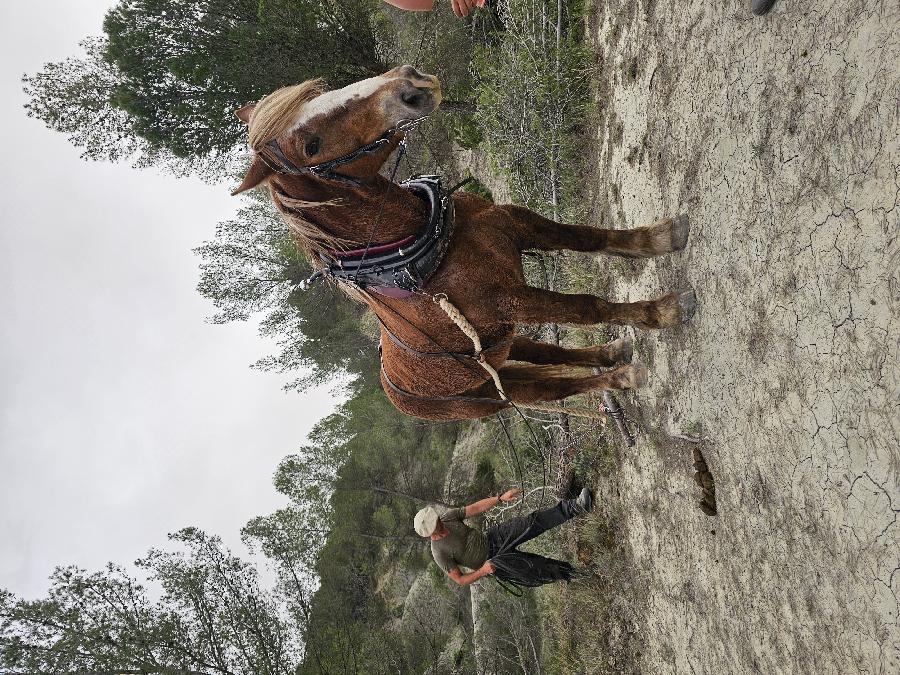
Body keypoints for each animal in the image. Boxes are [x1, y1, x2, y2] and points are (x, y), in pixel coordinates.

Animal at [232, 64, 696, 422]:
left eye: (318, 92)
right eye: (311, 146)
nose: (410, 83)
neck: (426, 245)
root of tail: (396, 392)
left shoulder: (516, 224)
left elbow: (589, 238)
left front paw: (657, 238)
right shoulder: (510, 301)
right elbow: (588, 307)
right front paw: (662, 311)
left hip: (502, 349)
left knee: (548, 353)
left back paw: (610, 352)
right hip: (498, 392)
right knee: (558, 387)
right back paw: (620, 375)